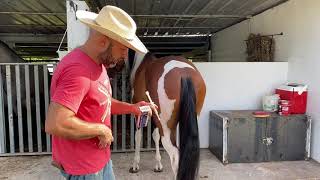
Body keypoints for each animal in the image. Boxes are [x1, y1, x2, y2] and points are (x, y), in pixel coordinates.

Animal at [130, 51, 208, 179]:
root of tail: (184, 75)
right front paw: (158, 165)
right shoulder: (155, 115)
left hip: (167, 129)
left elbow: (138, 136)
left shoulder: (140, 110)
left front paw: (135, 165)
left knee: (175, 157)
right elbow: (155, 135)